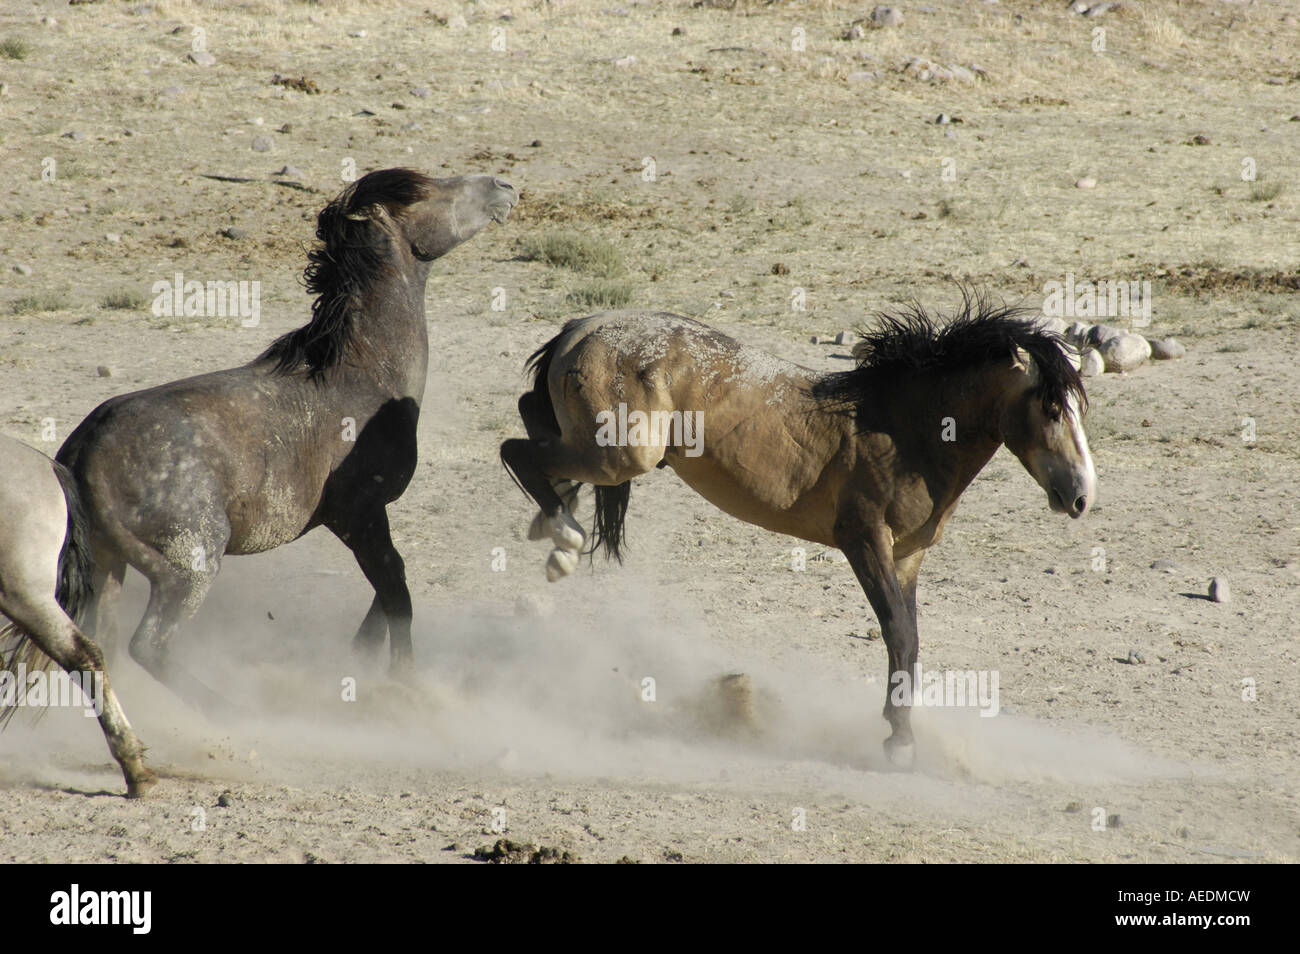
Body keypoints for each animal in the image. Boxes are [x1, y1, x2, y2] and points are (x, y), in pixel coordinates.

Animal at [57, 168, 518, 715]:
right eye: (427, 193)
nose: (503, 187)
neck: (360, 377)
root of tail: (84, 450)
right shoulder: (358, 516)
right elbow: (396, 593)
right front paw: (404, 682)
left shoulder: (369, 519)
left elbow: (387, 589)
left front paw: (362, 655)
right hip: (190, 564)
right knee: (150, 645)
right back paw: (233, 712)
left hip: (110, 566)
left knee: (98, 644)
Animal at [499, 292, 1095, 766]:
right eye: (1050, 408)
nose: (1081, 496)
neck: (905, 430)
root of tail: (581, 328)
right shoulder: (864, 541)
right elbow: (898, 633)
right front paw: (900, 744)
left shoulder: (907, 557)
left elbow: (910, 640)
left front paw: (900, 731)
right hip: (624, 455)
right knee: (517, 446)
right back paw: (563, 538)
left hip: (610, 454)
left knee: (533, 425)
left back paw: (557, 524)